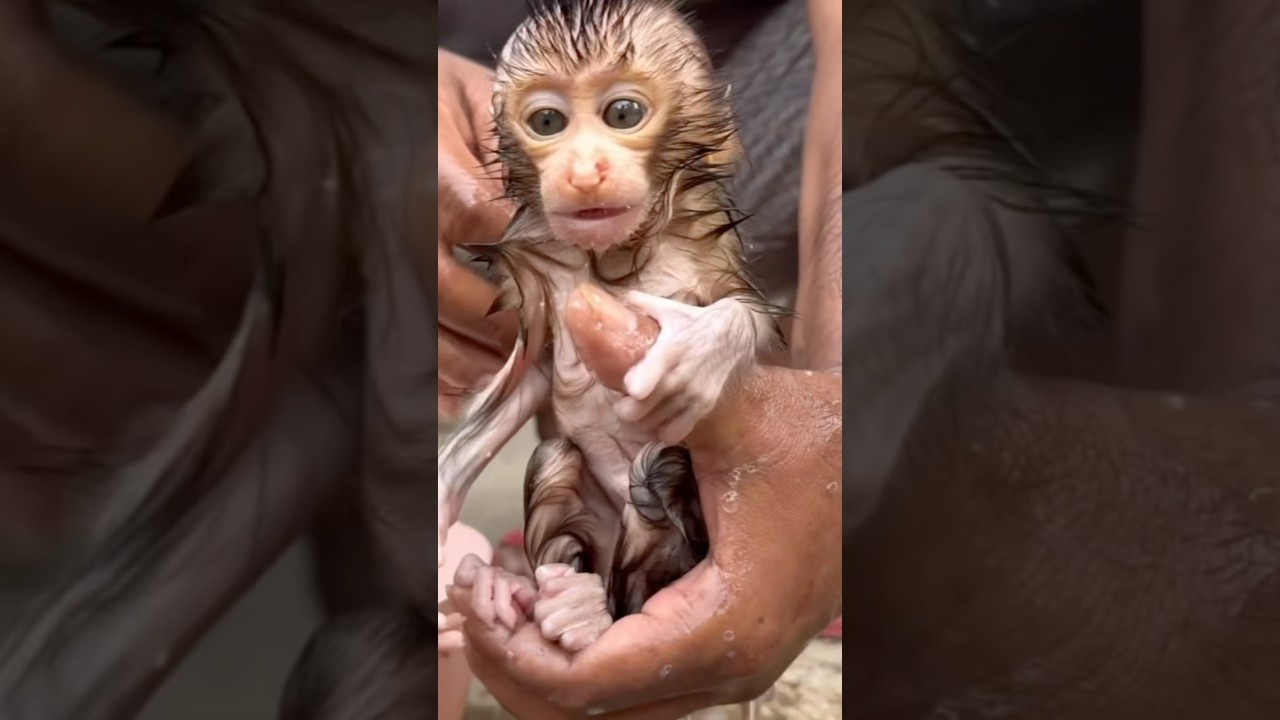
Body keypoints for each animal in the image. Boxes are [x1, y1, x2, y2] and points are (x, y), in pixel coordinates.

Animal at [436, 0, 786, 654]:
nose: (584, 171)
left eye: (623, 113)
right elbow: (513, 396)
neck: (620, 257)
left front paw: (697, 353)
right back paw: (540, 594)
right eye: (547, 121)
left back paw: (590, 610)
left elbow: (745, 314)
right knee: (555, 456)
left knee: (656, 475)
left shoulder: (711, 263)